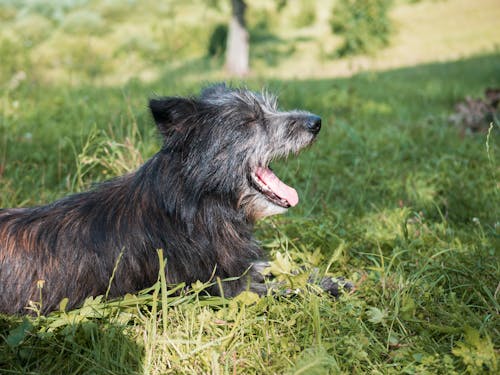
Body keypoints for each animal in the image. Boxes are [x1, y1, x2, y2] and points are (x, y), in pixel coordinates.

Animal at [0, 83, 344, 316]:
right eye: (249, 121)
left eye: (269, 108)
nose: (315, 122)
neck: (197, 203)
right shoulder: (220, 289)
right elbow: (285, 288)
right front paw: (326, 286)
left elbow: (278, 269)